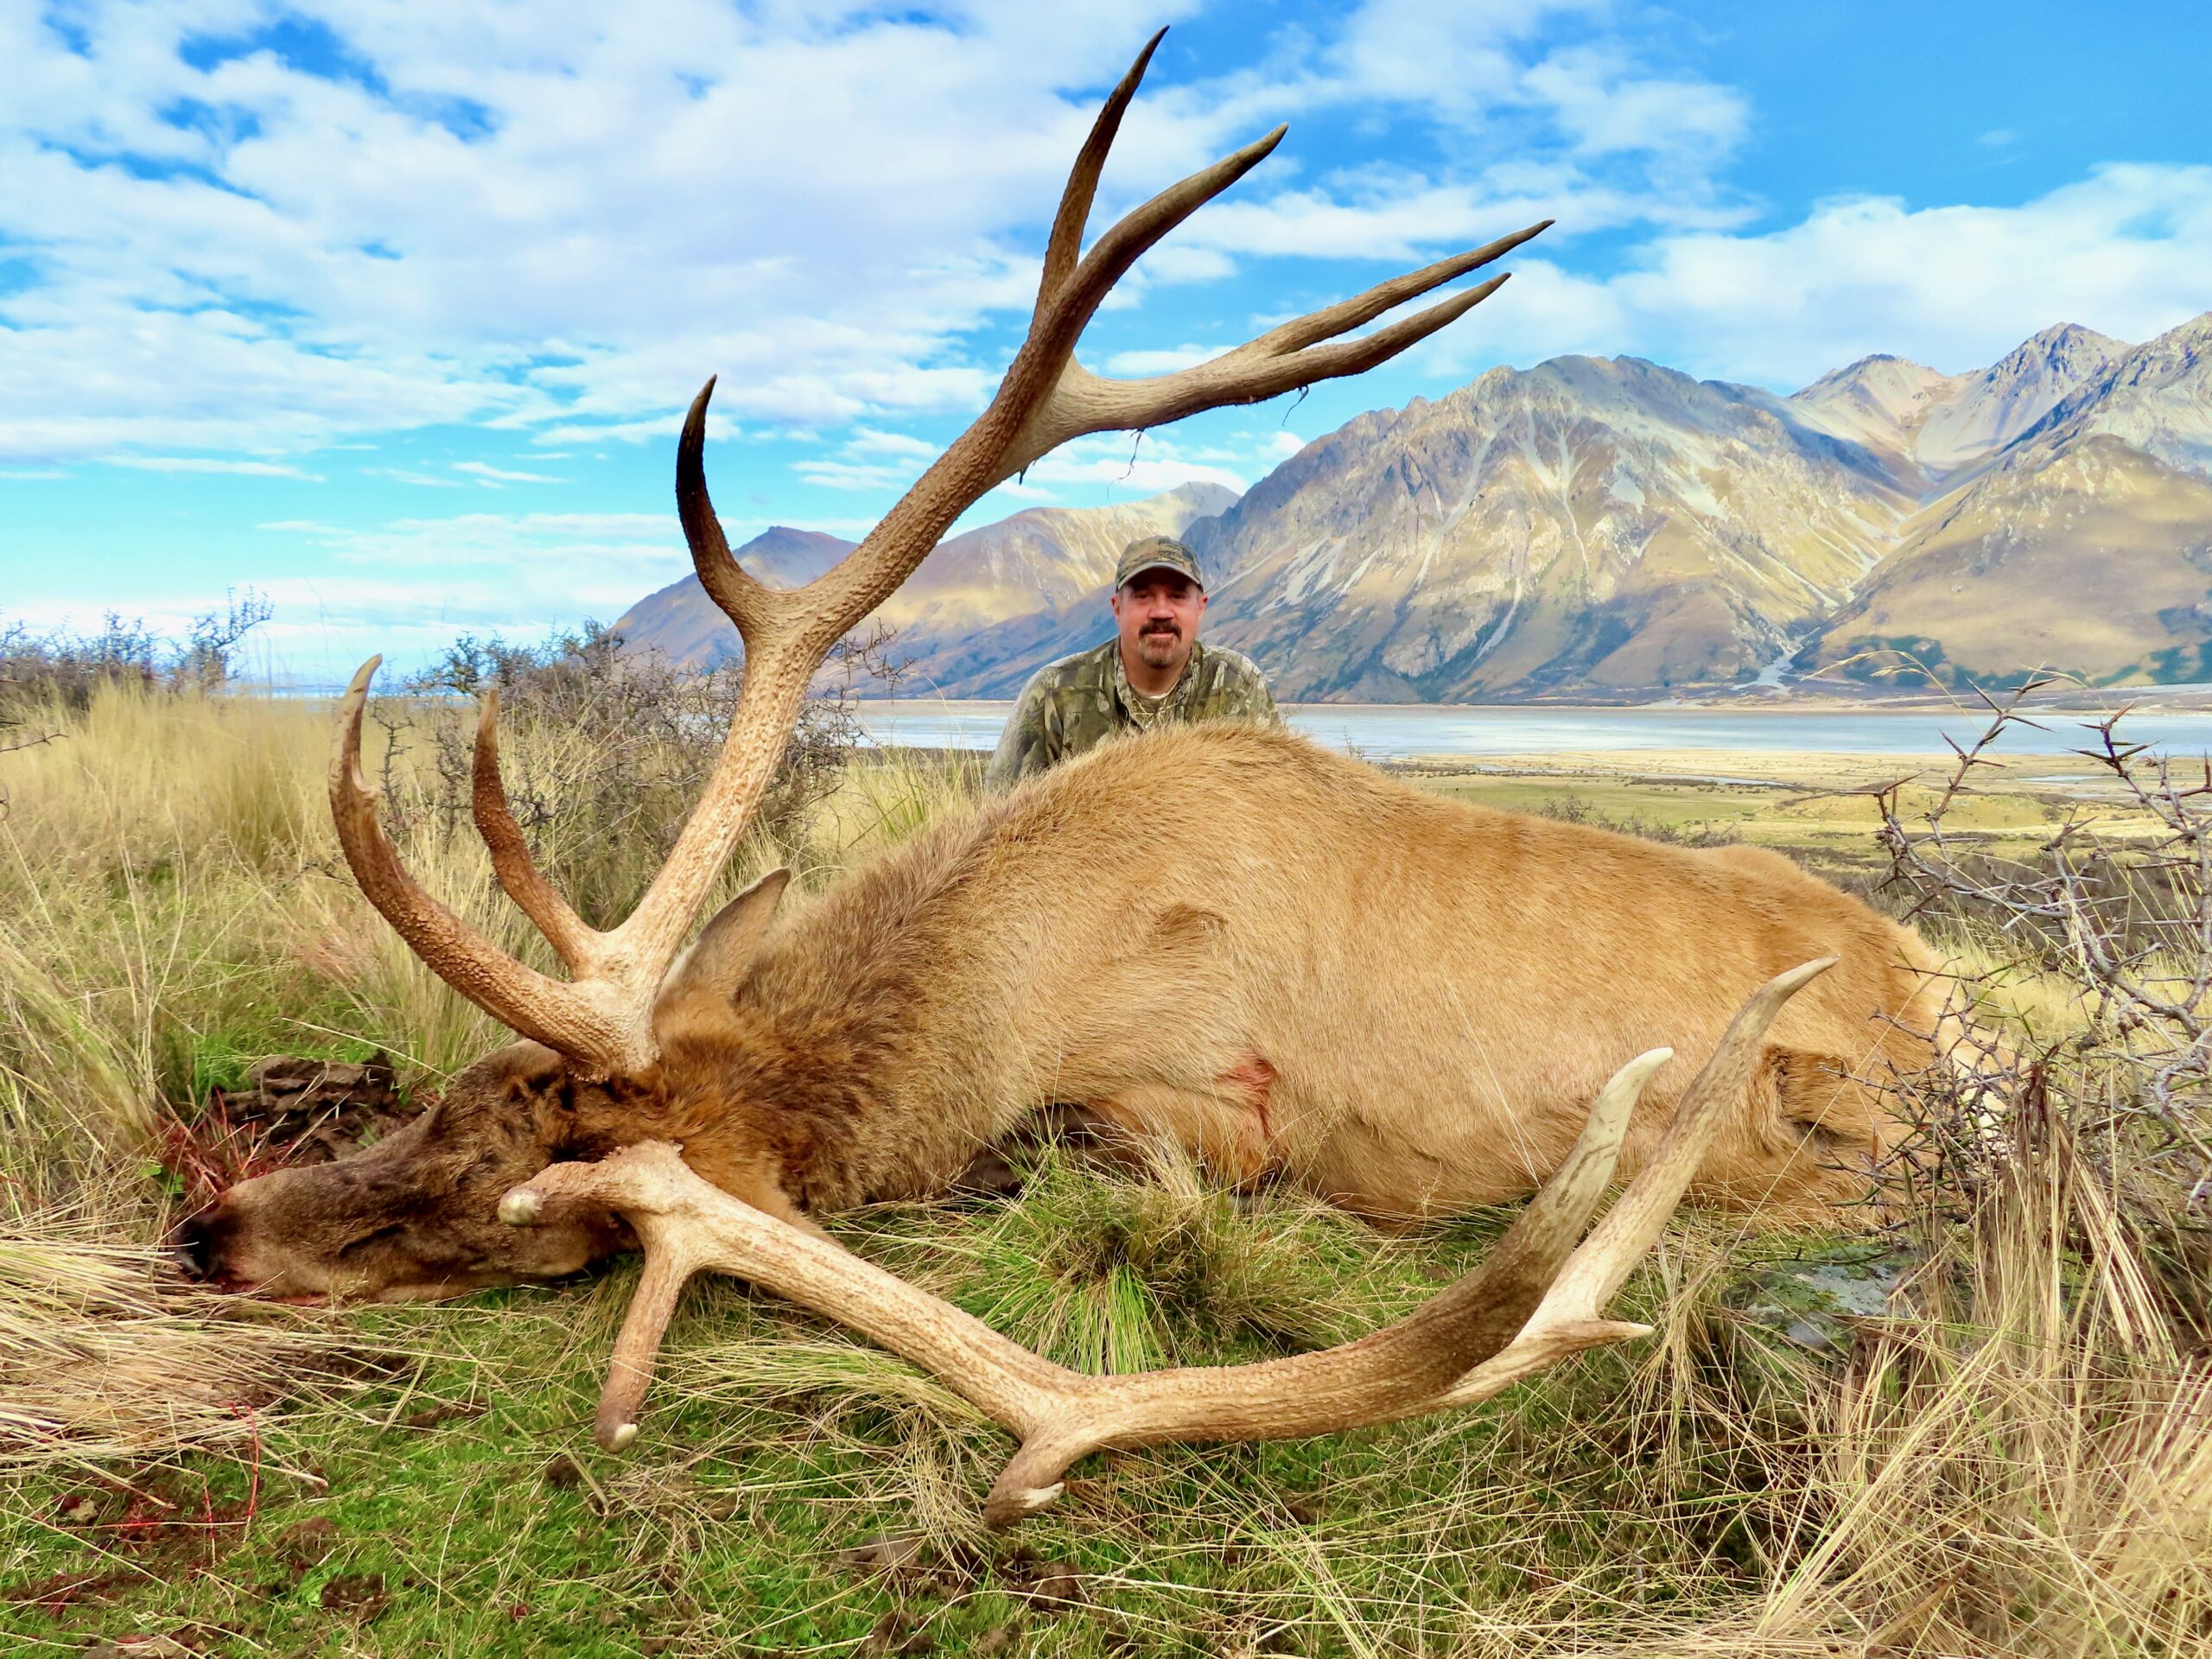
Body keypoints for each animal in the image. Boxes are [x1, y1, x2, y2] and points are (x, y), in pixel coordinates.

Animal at [177, 32, 1952, 1523]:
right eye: (462, 1091)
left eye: (543, 1198)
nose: (212, 1229)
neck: (1013, 966)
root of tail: (1923, 984)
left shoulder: (1213, 1107)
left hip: (1813, 1132)